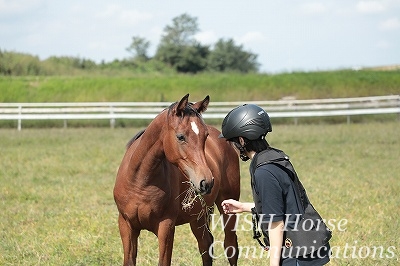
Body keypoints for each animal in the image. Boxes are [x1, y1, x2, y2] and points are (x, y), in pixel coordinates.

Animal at [113, 94, 241, 264]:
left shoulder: (166, 226)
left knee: (230, 246)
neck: (140, 181)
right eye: (180, 136)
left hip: (227, 206)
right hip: (198, 218)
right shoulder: (126, 225)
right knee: (206, 244)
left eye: (205, 136)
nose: (207, 182)